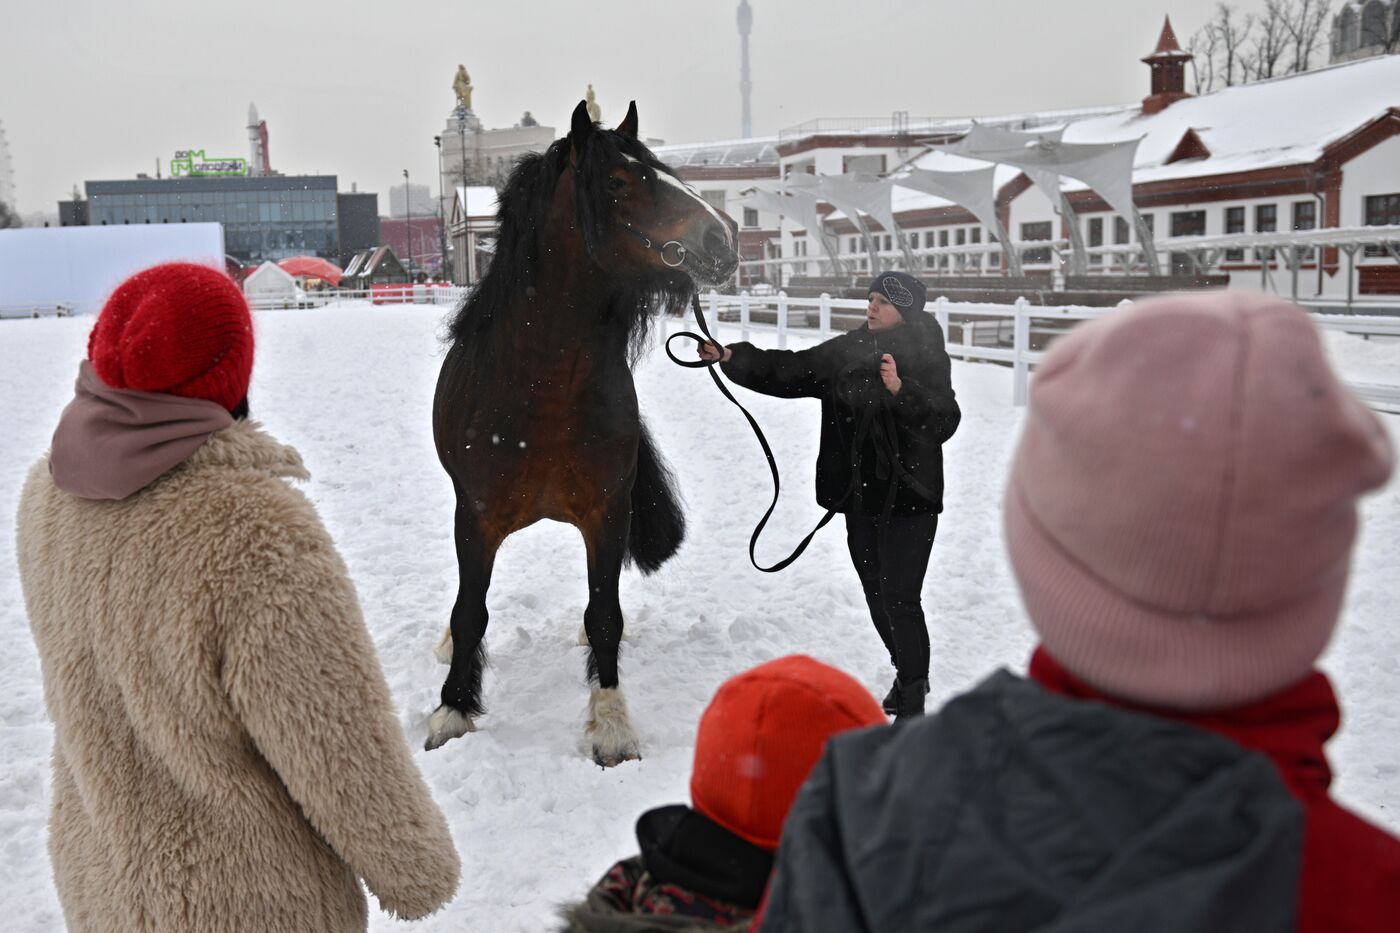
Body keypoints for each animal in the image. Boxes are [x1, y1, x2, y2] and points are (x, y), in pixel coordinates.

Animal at [425, 98, 739, 762]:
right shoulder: (476, 516)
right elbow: (470, 613)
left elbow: (605, 616)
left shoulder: (607, 511)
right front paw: (452, 710)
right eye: (617, 181)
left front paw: (611, 724)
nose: (722, 239)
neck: (544, 389)